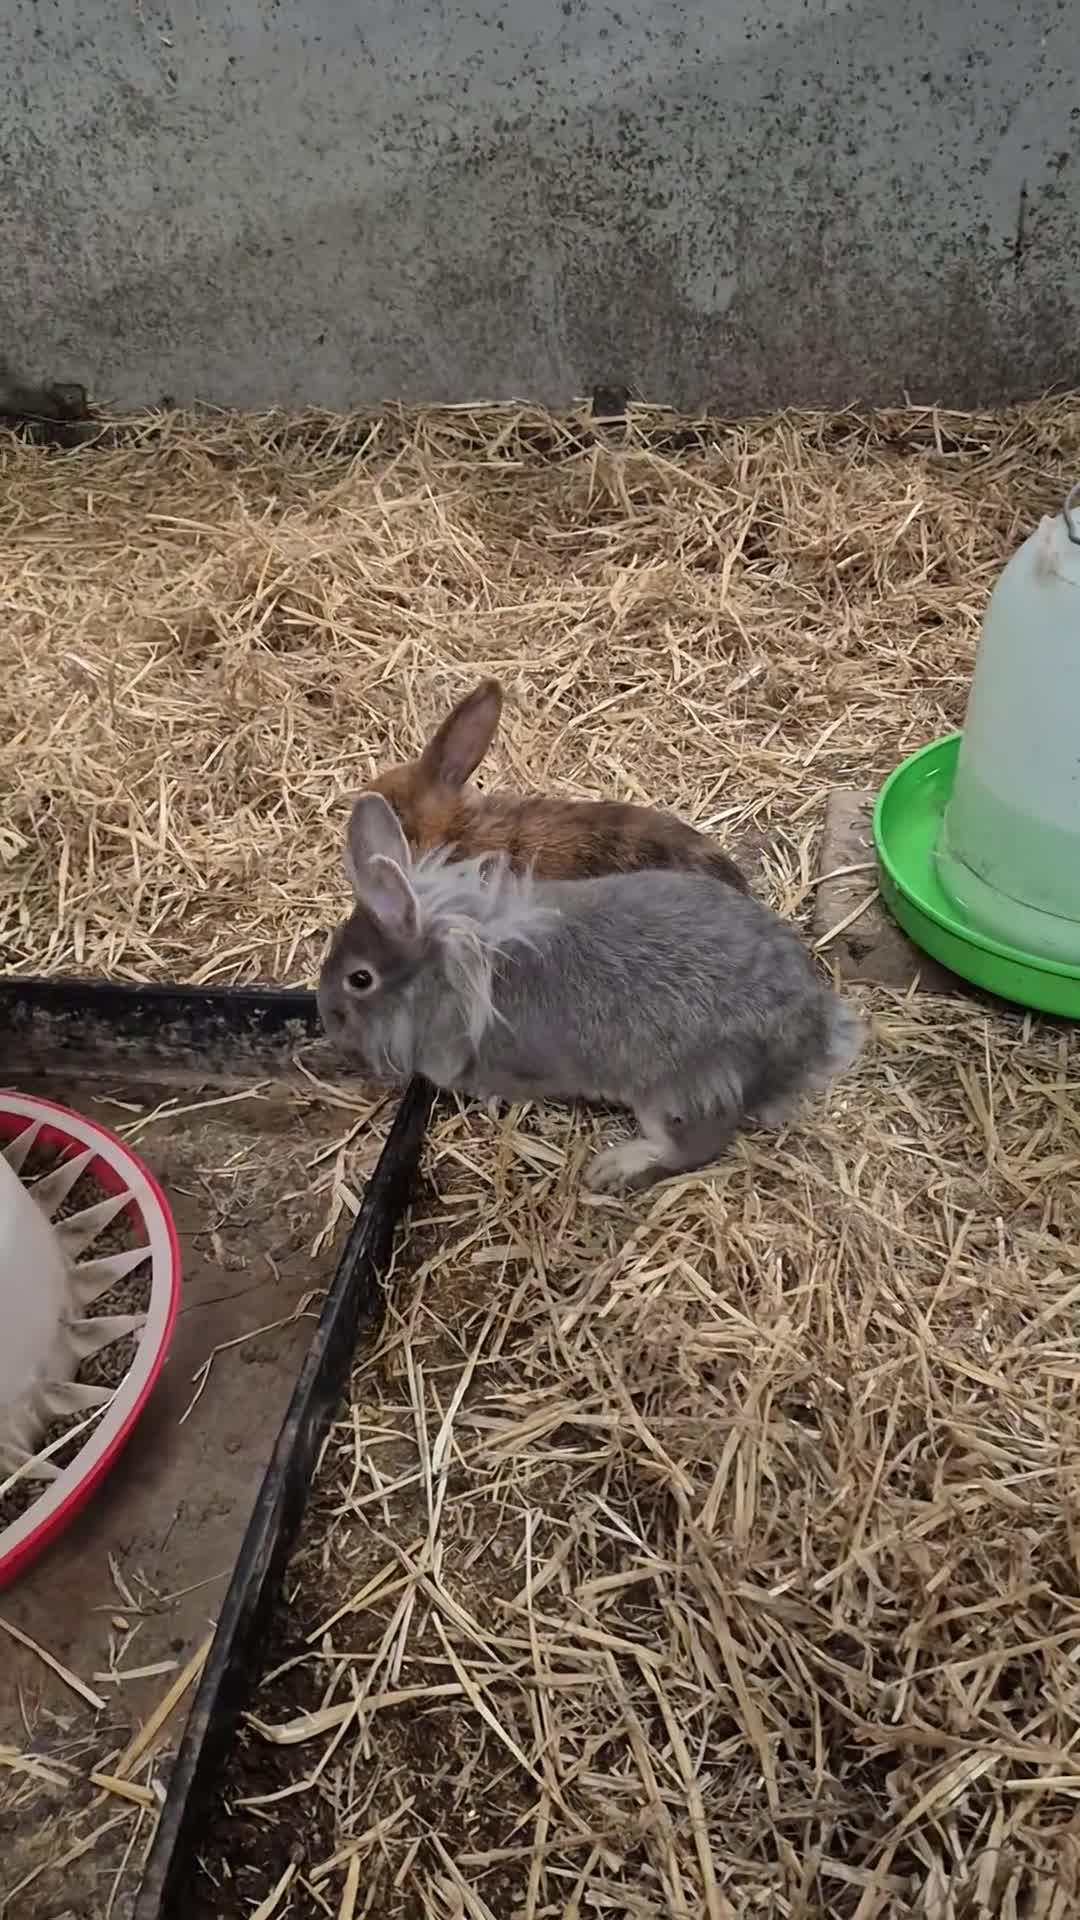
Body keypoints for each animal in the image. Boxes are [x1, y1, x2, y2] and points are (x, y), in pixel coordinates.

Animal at [318, 793, 863, 1193]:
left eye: (359, 979)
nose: (329, 1021)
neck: (442, 976)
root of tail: (812, 1030)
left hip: (676, 1094)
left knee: (691, 1148)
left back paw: (612, 1169)